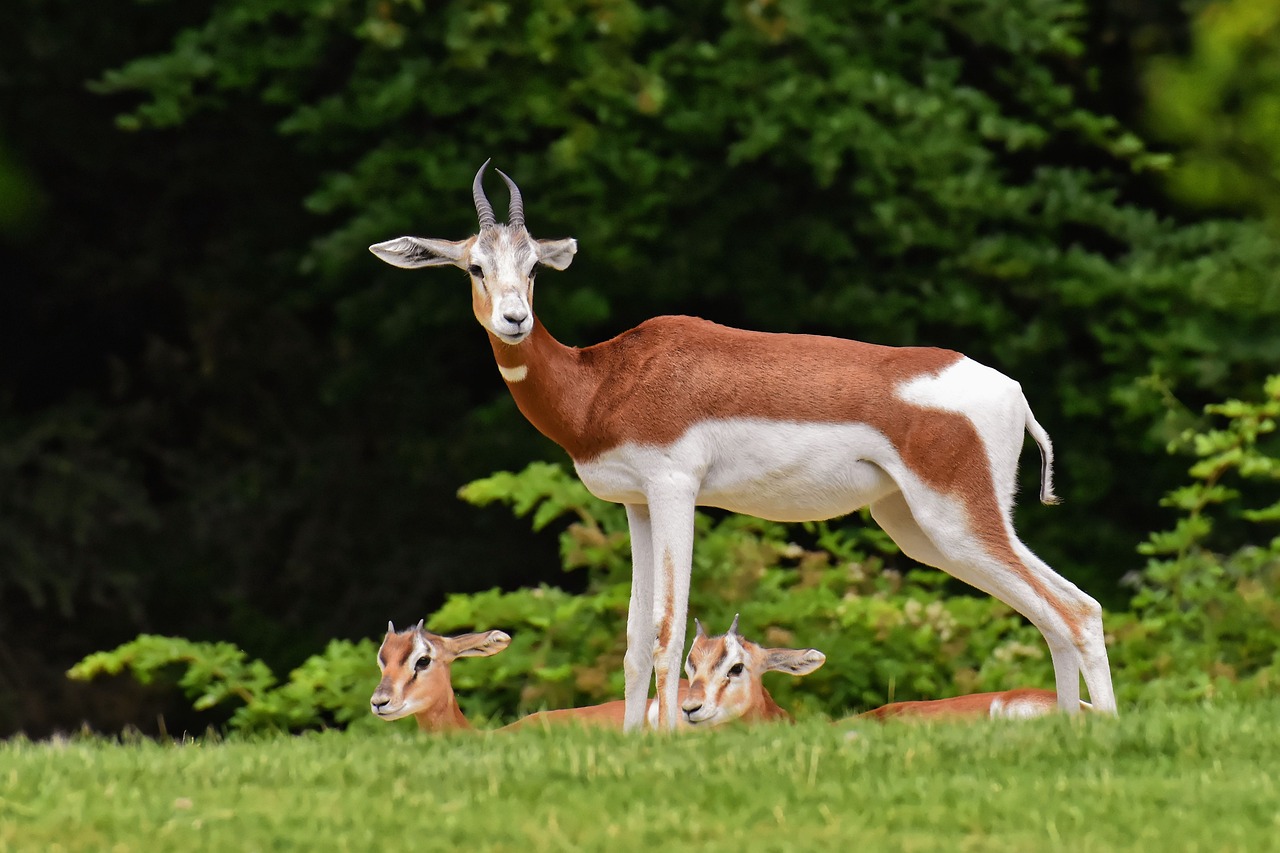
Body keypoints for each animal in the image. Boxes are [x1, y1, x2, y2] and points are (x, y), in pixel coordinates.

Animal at [369, 161, 1118, 731]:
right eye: (473, 266)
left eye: (532, 266)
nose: (515, 320)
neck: (603, 381)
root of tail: (1012, 392)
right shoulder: (634, 504)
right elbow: (634, 641)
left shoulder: (676, 489)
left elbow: (669, 631)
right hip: (922, 526)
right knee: (1056, 611)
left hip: (956, 517)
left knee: (1075, 610)